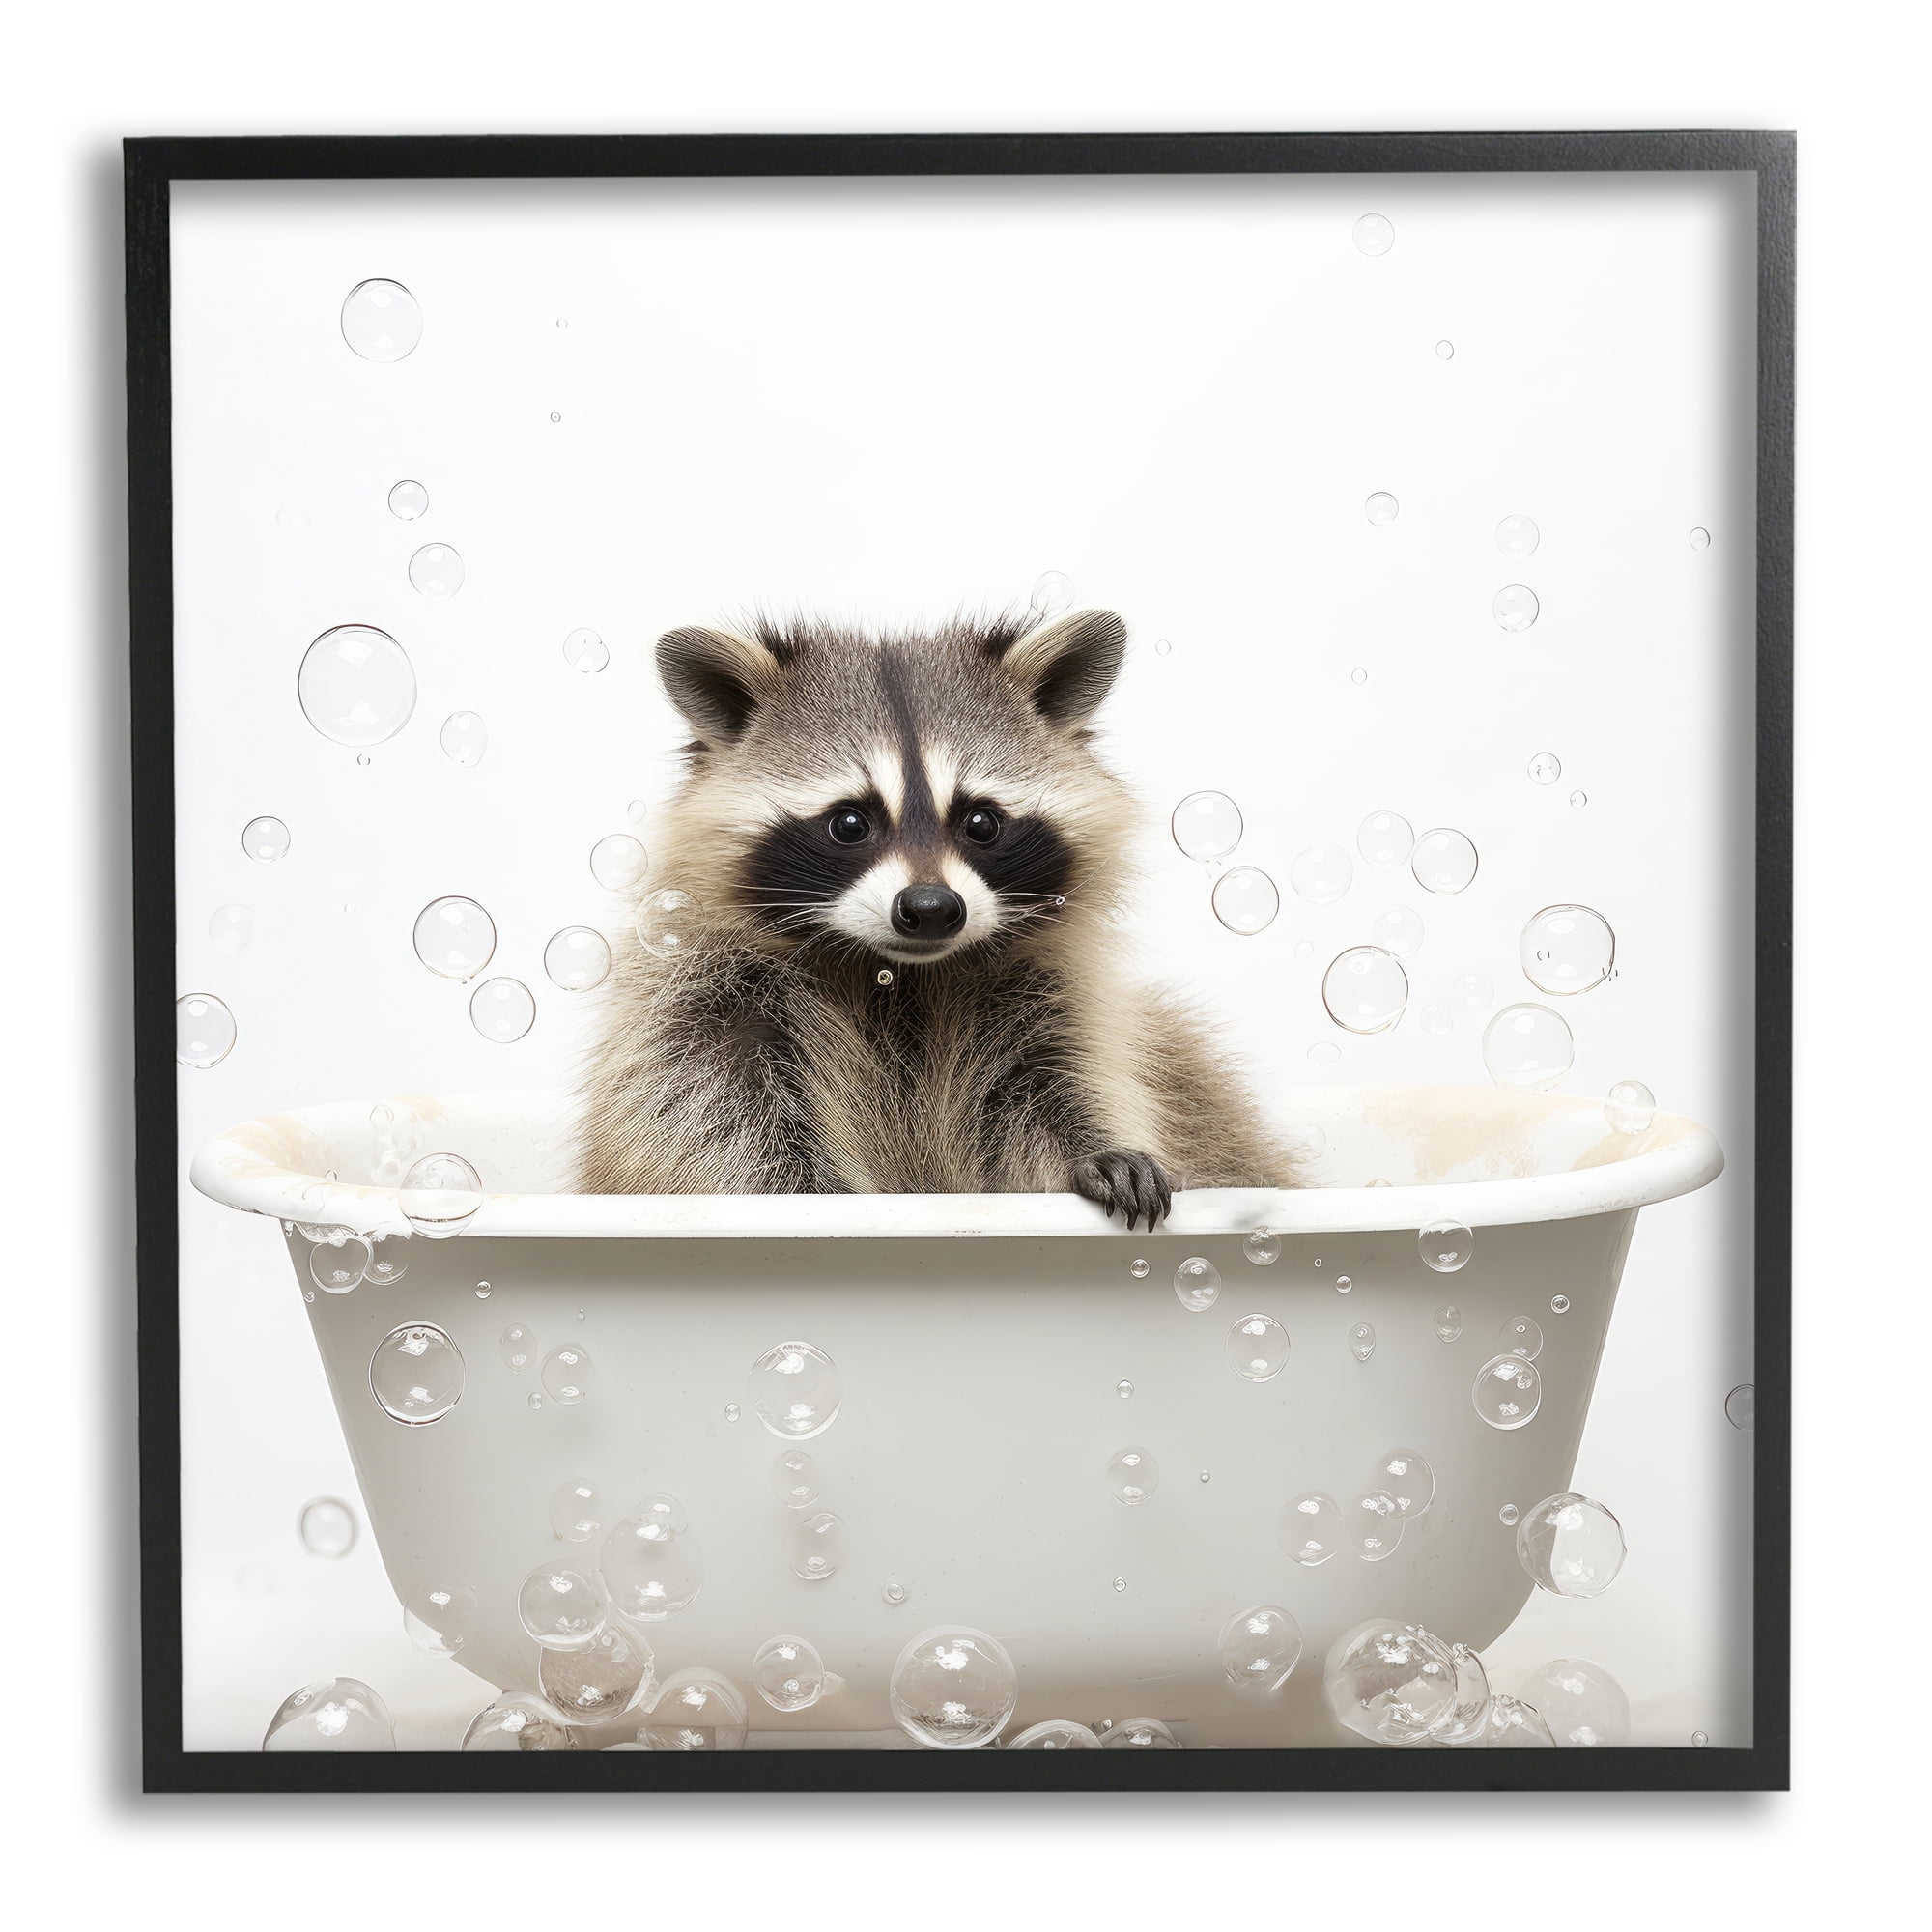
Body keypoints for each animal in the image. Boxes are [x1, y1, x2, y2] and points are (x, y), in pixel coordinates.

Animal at [575, 607, 1298, 1225]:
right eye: (849, 823)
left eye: (981, 822)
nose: (930, 910)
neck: (899, 972)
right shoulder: (703, 993)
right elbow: (704, 1114)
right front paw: (802, 1194)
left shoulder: (1049, 989)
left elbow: (1060, 1080)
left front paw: (1096, 1144)